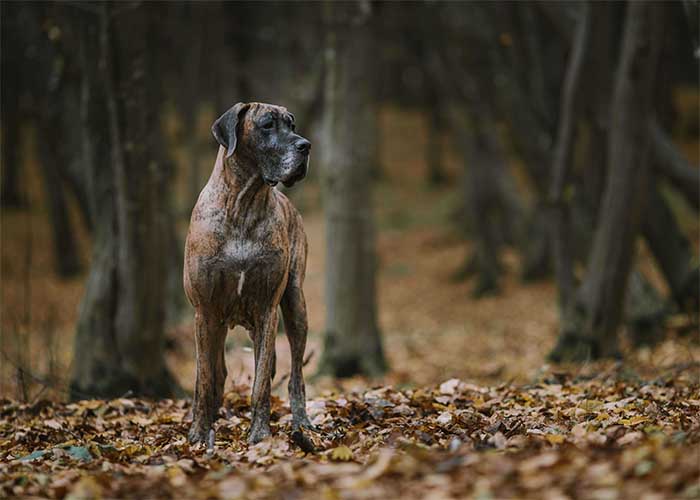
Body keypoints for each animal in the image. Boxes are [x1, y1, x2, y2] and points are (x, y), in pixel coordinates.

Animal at [183, 101, 312, 446]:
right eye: (267, 125)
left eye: (292, 124)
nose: (306, 146)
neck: (243, 204)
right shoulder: (204, 312)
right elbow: (204, 381)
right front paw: (198, 433)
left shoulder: (268, 310)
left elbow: (261, 384)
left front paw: (260, 433)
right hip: (215, 325)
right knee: (215, 372)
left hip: (295, 306)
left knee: (295, 376)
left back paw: (303, 423)